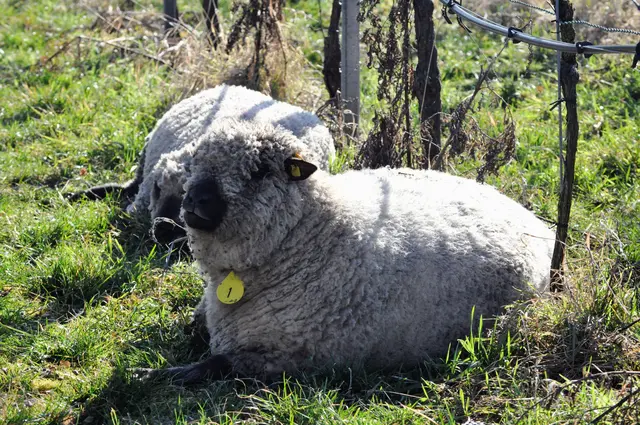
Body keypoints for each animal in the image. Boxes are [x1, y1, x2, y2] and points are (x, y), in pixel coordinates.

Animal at [147, 118, 554, 384]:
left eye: (260, 170)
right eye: (196, 162)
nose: (194, 201)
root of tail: (539, 226)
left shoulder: (293, 357)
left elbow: (217, 364)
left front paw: (162, 372)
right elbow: (191, 327)